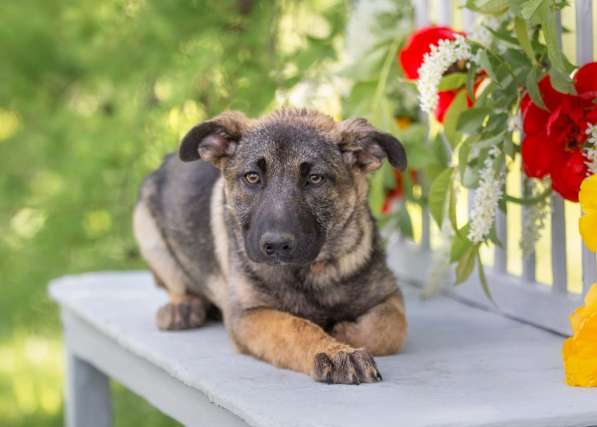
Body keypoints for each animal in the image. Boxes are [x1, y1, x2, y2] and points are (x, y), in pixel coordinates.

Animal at [133, 108, 408, 384]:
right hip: (145, 228)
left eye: (315, 179)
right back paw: (184, 308)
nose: (276, 245)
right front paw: (336, 351)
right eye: (252, 177)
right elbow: (295, 327)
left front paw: (343, 333)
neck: (311, 273)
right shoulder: (248, 314)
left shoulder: (390, 296)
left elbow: (390, 327)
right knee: (175, 285)